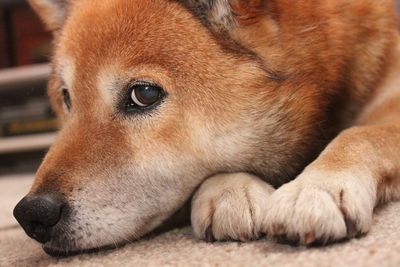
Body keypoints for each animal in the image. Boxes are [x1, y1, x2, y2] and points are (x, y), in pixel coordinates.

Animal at [13, 0, 400, 258]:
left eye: (144, 94)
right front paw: (229, 190)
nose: (32, 214)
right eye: (67, 97)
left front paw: (317, 187)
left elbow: (360, 135)